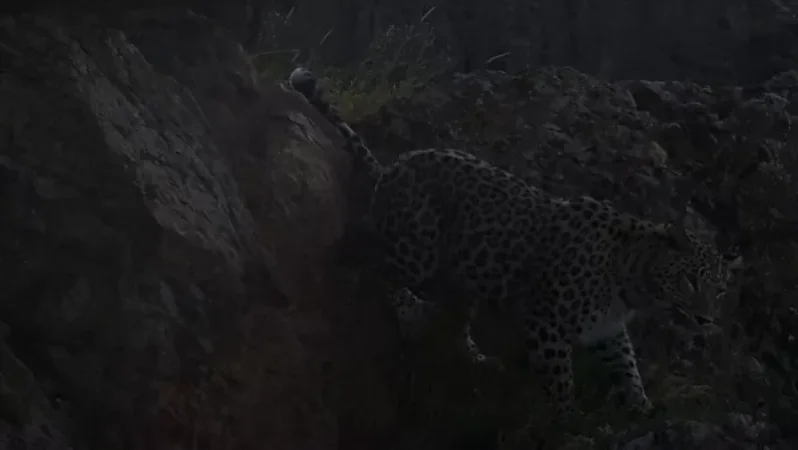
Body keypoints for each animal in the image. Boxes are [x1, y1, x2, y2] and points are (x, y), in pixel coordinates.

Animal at [285, 67, 743, 421]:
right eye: (690, 281)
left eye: (720, 290)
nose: (706, 320)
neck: (632, 280)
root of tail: (395, 165)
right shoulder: (546, 321)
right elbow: (560, 379)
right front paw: (567, 419)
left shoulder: (609, 329)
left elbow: (628, 368)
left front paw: (642, 407)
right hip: (417, 252)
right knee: (378, 265)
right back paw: (404, 307)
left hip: (462, 279)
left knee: (451, 320)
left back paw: (476, 357)